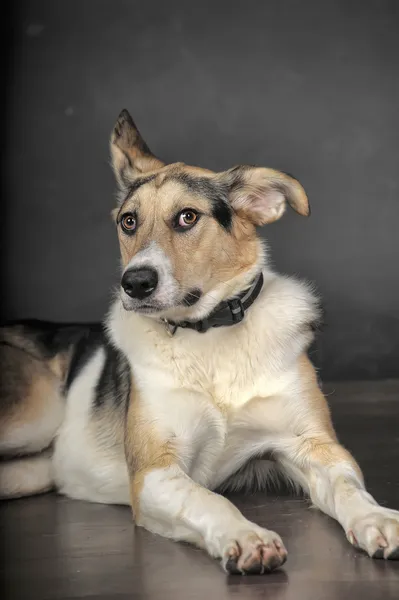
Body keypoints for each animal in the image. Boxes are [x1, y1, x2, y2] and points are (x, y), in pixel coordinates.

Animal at [0, 110, 399, 576]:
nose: (135, 283)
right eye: (128, 221)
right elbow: (207, 498)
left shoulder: (315, 445)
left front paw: (377, 519)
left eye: (188, 217)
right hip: (39, 410)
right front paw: (246, 536)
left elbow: (348, 487)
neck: (210, 336)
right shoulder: (155, 471)